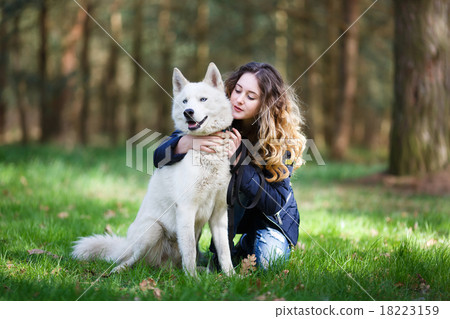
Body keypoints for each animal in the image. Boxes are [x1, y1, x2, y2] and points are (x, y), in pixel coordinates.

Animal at [72, 63, 234, 278]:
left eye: (203, 99)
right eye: (184, 101)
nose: (188, 112)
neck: (207, 156)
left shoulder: (219, 214)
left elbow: (224, 251)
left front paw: (232, 276)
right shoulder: (186, 209)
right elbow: (189, 250)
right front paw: (193, 280)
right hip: (153, 230)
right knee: (130, 260)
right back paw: (117, 270)